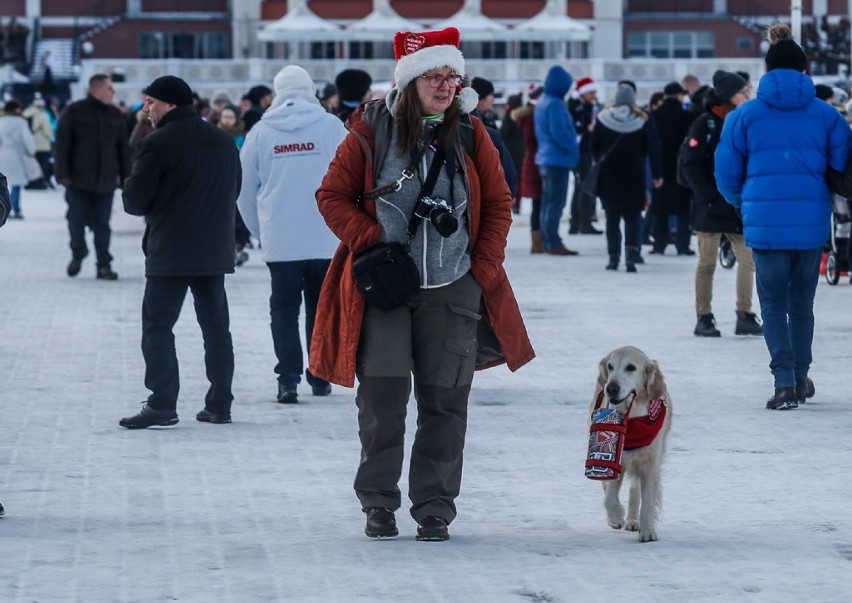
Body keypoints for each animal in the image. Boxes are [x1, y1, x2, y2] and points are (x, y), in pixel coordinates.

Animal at [588, 346, 668, 544]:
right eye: (610, 366)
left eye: (631, 367)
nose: (611, 388)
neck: (633, 418)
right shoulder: (612, 459)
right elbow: (609, 494)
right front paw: (616, 516)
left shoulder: (650, 465)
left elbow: (647, 501)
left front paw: (647, 531)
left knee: (634, 490)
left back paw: (633, 520)